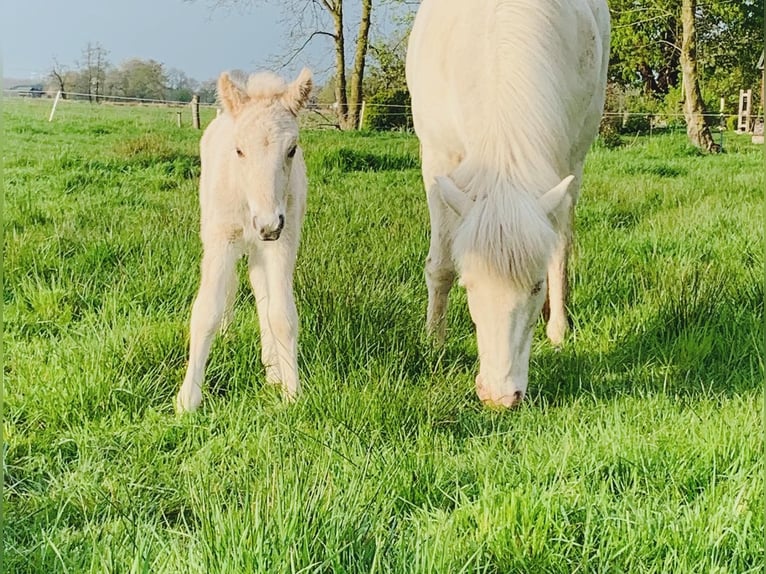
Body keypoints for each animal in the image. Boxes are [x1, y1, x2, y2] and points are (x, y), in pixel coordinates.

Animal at [176, 68, 312, 414]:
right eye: (239, 150)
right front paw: (187, 400)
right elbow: (205, 311)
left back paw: (273, 369)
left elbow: (281, 315)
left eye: (292, 149)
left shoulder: (283, 240)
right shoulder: (221, 239)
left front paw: (291, 392)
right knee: (234, 283)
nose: (266, 223)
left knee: (260, 289)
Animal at [408, 0, 612, 410]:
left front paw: (558, 330)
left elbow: (559, 252)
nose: (500, 397)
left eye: (533, 287)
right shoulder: (437, 161)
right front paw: (434, 342)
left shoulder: (568, 161)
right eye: (470, 286)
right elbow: (440, 265)